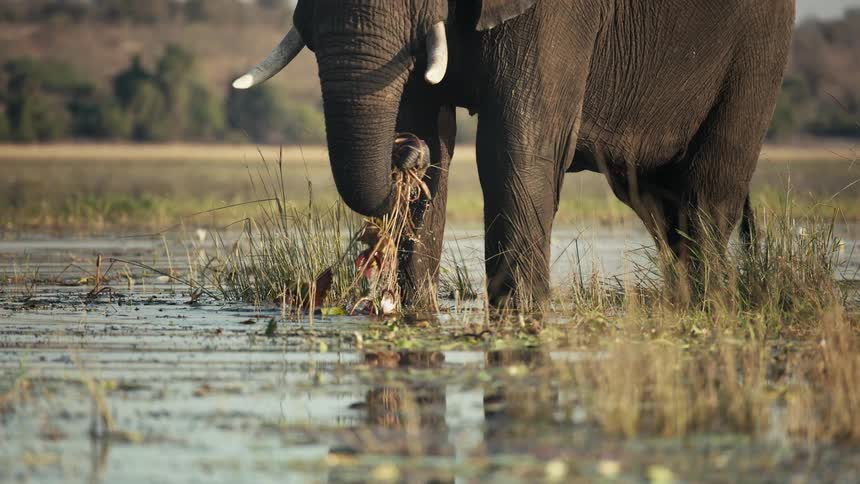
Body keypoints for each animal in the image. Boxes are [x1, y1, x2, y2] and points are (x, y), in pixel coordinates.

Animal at [234, 0, 796, 308]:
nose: (406, 156)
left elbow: (515, 144)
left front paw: (522, 313)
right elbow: (425, 116)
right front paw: (414, 310)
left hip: (759, 49)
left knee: (708, 195)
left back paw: (711, 302)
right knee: (658, 204)